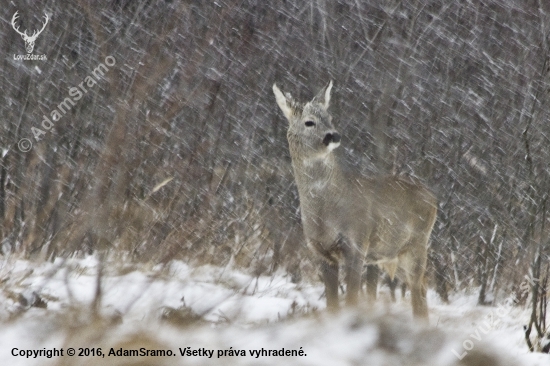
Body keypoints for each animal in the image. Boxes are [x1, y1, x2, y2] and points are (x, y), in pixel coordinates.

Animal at [274, 81, 438, 320]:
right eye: (309, 122)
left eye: (330, 117)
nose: (333, 136)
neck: (326, 211)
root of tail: (433, 198)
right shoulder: (321, 252)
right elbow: (333, 304)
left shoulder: (357, 243)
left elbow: (352, 299)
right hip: (393, 254)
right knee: (422, 287)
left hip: (417, 244)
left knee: (418, 289)